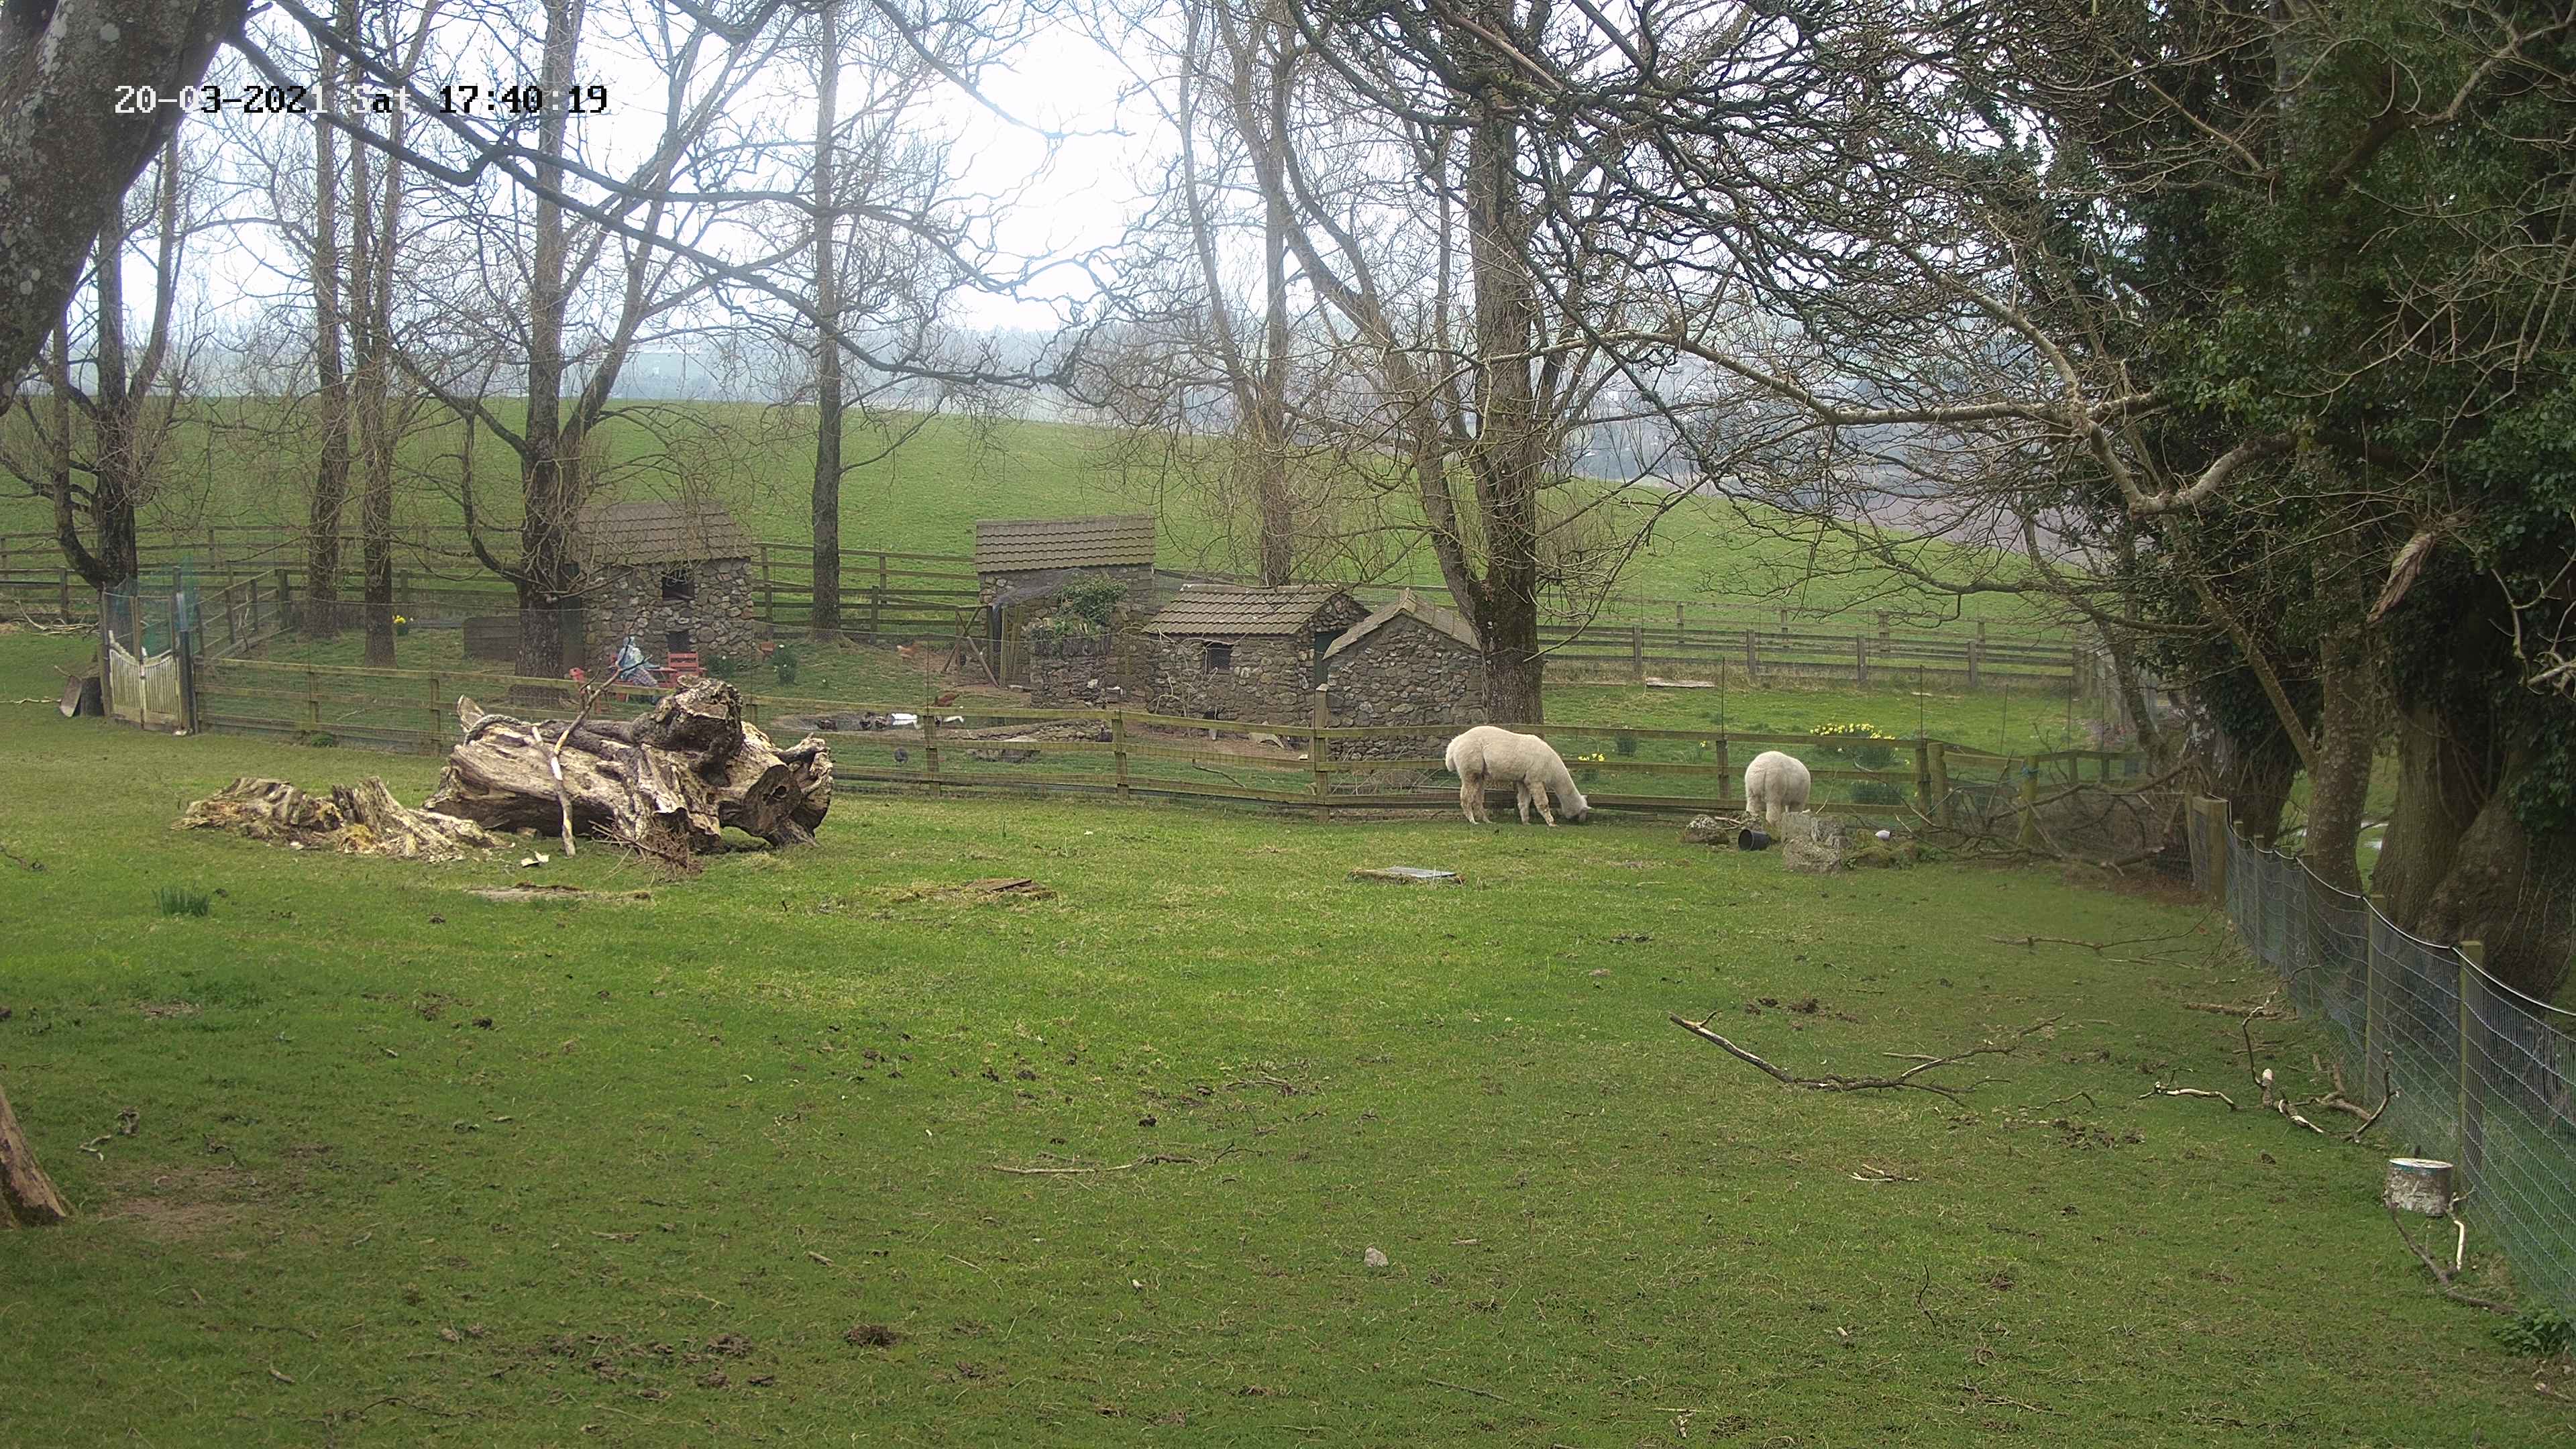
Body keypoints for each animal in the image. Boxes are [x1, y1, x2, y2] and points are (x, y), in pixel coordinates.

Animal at [1444, 725, 1592, 826]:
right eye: (1583, 812)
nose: (1582, 822)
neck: (1552, 766)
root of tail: (1454, 745)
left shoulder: (1524, 780)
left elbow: (1524, 802)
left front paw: (1526, 822)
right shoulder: (1535, 779)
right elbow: (1543, 803)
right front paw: (1552, 823)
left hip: (1480, 773)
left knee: (1477, 799)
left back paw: (1487, 821)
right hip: (1470, 767)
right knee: (1466, 797)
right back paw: (1473, 821)